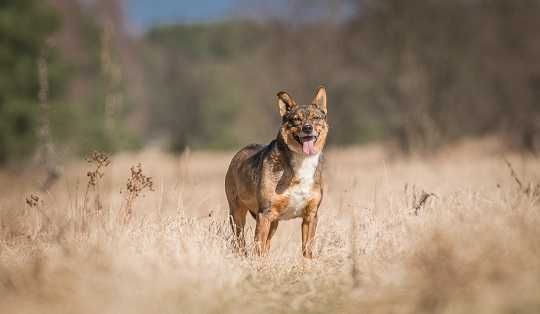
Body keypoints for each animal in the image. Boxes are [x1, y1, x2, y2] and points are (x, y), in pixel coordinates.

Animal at [225, 86, 330, 258]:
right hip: (238, 216)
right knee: (240, 243)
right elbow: (258, 248)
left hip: (274, 223)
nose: (308, 128)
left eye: (316, 118)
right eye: (296, 120)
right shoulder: (264, 214)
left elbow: (307, 250)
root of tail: (239, 153)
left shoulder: (311, 215)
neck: (301, 162)